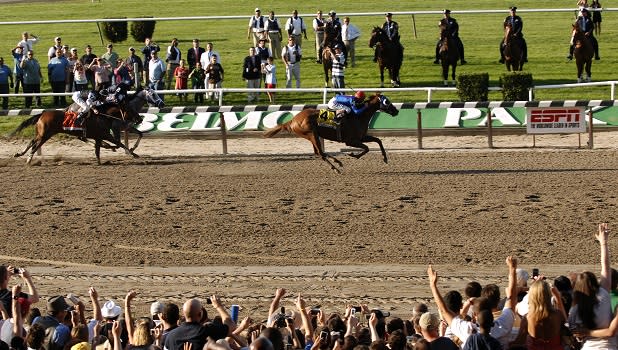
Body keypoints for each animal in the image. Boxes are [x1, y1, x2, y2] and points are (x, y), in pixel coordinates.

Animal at [11, 104, 141, 165]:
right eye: (130, 109)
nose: (140, 119)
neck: (103, 116)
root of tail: (42, 114)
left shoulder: (98, 137)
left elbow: (98, 150)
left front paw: (100, 161)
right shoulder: (104, 135)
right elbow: (119, 144)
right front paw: (134, 154)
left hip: (42, 134)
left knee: (31, 142)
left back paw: (19, 154)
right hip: (45, 135)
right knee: (35, 145)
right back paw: (28, 159)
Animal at [262, 92, 398, 173]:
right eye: (387, 101)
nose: (396, 111)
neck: (359, 116)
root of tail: (293, 119)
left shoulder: (361, 137)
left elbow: (378, 141)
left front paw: (385, 158)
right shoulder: (350, 141)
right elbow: (367, 148)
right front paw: (353, 155)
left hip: (313, 136)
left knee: (318, 152)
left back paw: (337, 162)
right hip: (311, 134)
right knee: (321, 153)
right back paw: (336, 167)